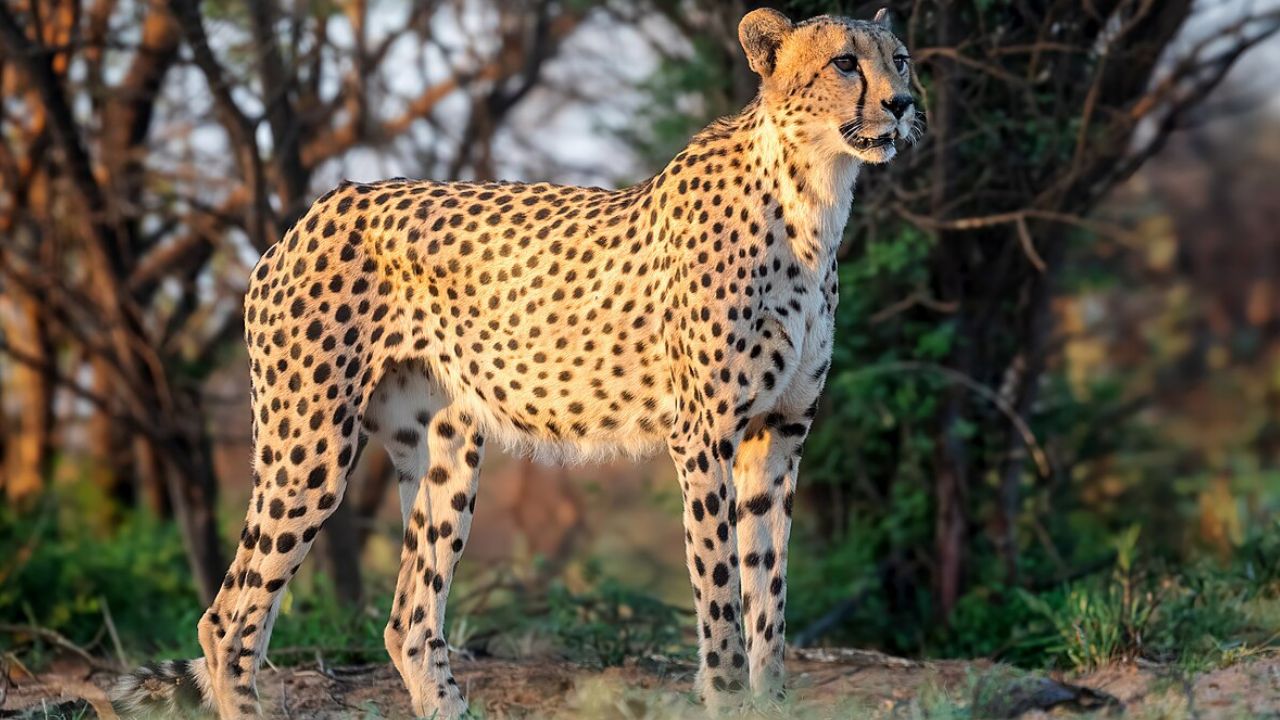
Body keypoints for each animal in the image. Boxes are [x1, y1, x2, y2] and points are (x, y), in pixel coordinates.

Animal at [111, 8, 920, 718]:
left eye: (901, 59)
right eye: (845, 63)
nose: (904, 104)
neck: (813, 196)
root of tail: (312, 211)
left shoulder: (778, 436)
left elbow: (768, 600)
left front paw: (772, 701)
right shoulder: (705, 436)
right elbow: (722, 597)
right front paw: (727, 700)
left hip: (446, 452)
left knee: (409, 620)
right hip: (308, 447)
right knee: (229, 620)